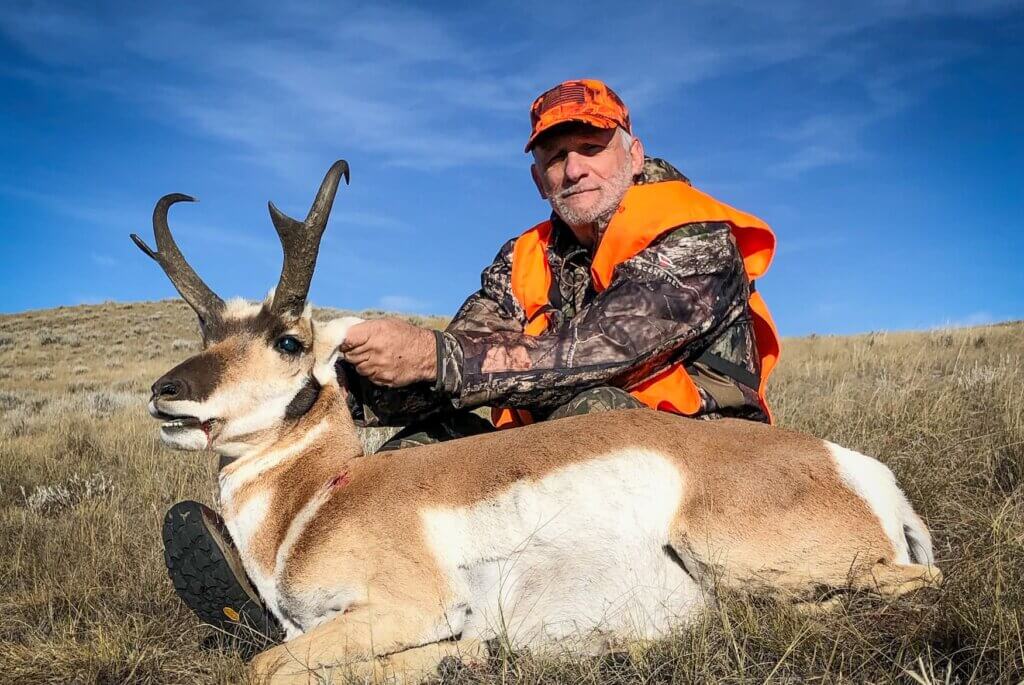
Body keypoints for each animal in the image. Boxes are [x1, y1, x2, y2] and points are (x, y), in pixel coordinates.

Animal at [134, 160, 941, 683]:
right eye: (206, 333)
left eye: (289, 341)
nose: (164, 391)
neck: (315, 501)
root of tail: (860, 471)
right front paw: (464, 658)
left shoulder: (410, 604)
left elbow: (264, 666)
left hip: (733, 553)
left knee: (903, 591)